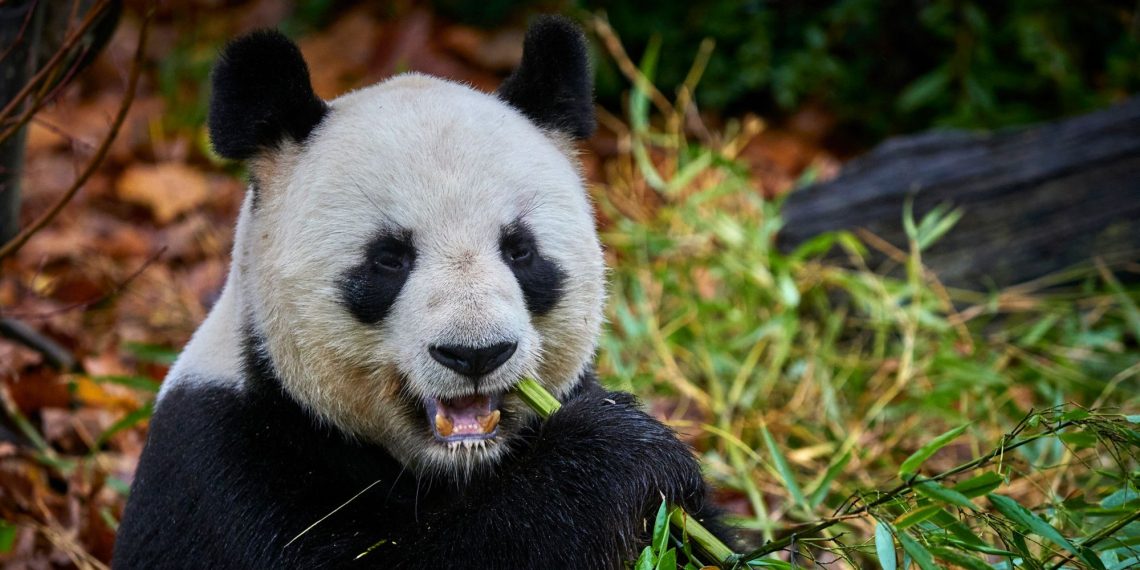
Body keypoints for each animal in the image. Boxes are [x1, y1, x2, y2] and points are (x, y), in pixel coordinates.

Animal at [114, 16, 727, 569]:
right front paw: (618, 452)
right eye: (389, 258)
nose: (476, 353)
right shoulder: (229, 467)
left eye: (519, 250)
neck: (459, 465)